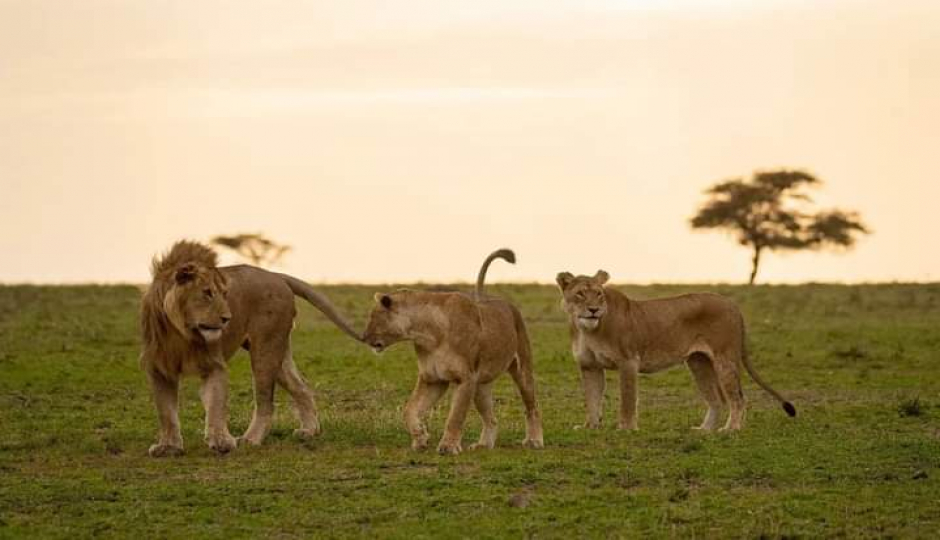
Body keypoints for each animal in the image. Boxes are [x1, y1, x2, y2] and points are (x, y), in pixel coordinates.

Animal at [139, 240, 360, 456]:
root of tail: (275, 275)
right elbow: (166, 411)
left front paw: (222, 442)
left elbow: (216, 405)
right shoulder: (159, 368)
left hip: (265, 348)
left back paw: (250, 439)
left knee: (266, 402)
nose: (227, 319)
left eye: (224, 294)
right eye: (207, 293)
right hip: (279, 352)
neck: (182, 331)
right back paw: (309, 431)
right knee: (301, 387)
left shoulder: (215, 364)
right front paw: (168, 447)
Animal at [360, 251, 544, 454]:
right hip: (481, 385)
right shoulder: (433, 379)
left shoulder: (465, 378)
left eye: (373, 317)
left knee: (532, 407)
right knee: (491, 418)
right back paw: (483, 445)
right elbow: (410, 410)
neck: (425, 334)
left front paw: (448, 447)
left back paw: (534, 441)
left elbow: (455, 416)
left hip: (521, 370)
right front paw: (420, 438)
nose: (363, 337)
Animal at [556, 270, 796, 430]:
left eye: (598, 294)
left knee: (738, 397)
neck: (587, 330)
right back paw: (704, 431)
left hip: (724, 359)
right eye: (580, 294)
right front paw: (589, 426)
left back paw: (730, 430)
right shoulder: (589, 366)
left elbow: (627, 399)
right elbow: (592, 398)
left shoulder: (628, 361)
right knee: (717, 398)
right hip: (698, 363)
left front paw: (626, 428)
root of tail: (731, 303)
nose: (593, 310)